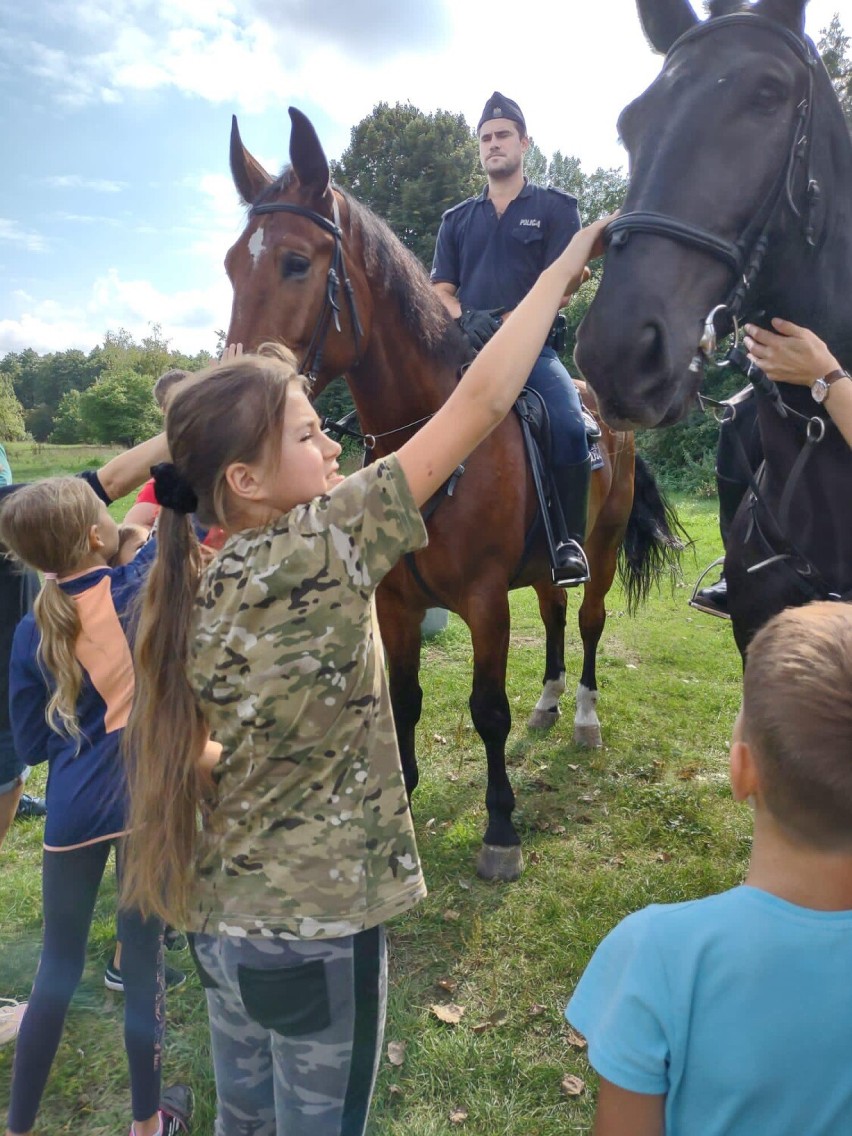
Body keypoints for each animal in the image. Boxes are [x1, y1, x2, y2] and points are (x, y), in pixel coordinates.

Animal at [223, 108, 686, 876]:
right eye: (233, 264)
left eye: (295, 262)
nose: (237, 391)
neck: (430, 443)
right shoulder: (395, 601)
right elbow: (405, 700)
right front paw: (403, 802)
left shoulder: (484, 600)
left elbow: (488, 709)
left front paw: (500, 828)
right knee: (555, 613)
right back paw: (549, 701)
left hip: (604, 543)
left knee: (588, 621)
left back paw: (582, 714)